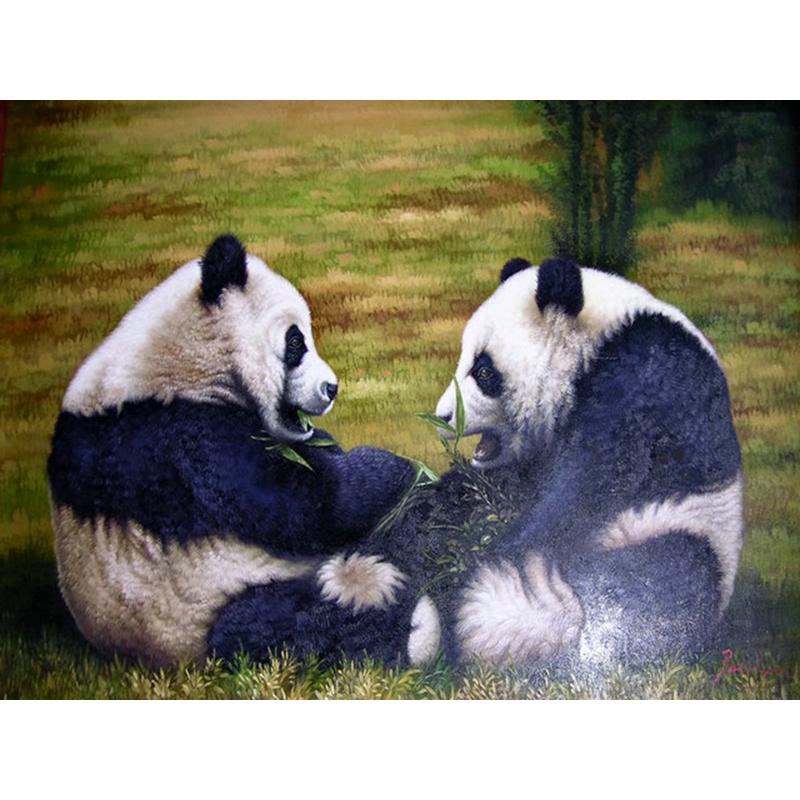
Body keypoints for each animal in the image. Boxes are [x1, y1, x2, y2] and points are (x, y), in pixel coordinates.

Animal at [47, 234, 415, 667]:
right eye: (296, 342)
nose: (332, 388)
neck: (182, 364)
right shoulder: (186, 440)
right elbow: (311, 505)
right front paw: (397, 467)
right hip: (209, 612)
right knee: (307, 615)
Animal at [233, 256, 743, 672]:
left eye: (483, 371)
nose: (443, 416)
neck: (602, 337)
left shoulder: (647, 377)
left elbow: (591, 483)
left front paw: (485, 551)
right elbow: (458, 500)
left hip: (675, 537)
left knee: (659, 578)